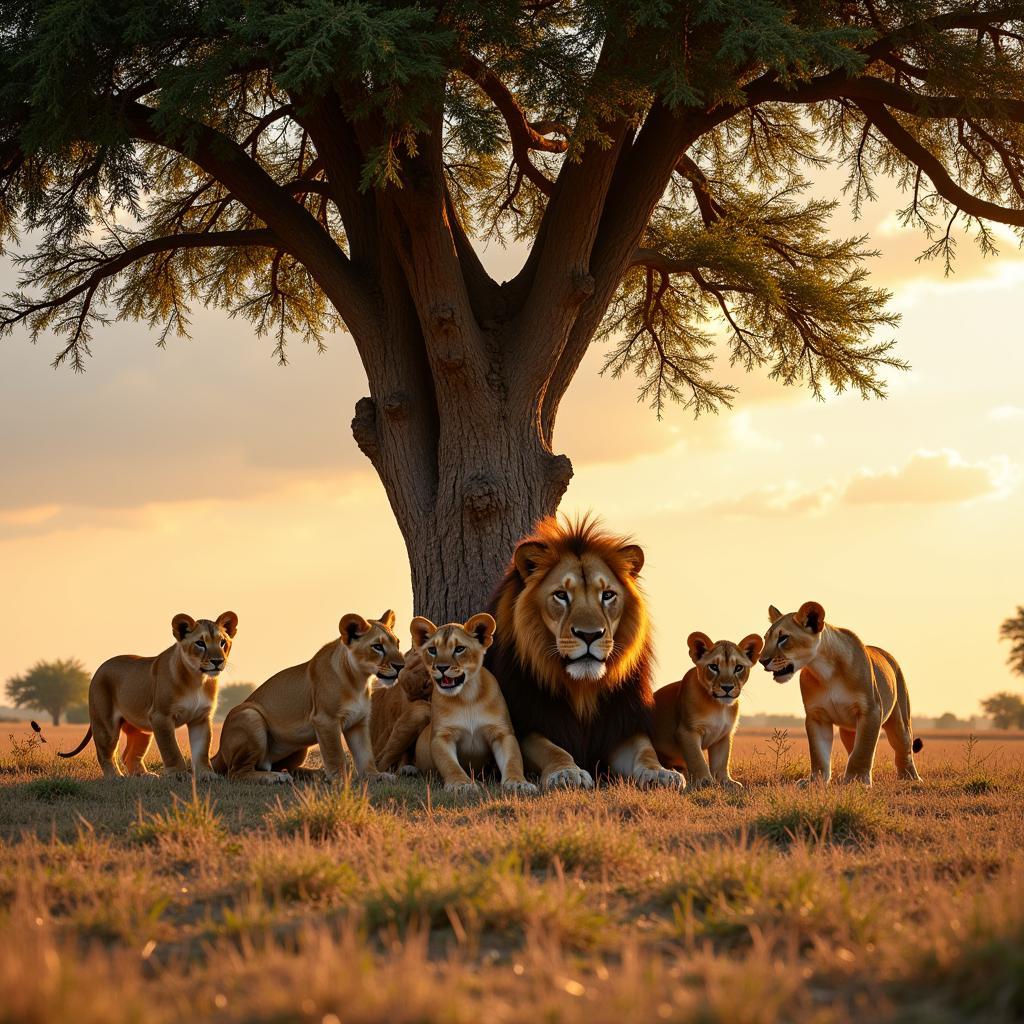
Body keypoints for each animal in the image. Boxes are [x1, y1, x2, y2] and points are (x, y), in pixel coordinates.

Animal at [485, 512, 679, 790]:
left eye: (607, 595)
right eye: (561, 595)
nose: (590, 635)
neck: (583, 689)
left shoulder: (620, 725)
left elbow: (645, 750)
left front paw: (661, 773)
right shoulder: (525, 723)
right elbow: (551, 749)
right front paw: (567, 772)